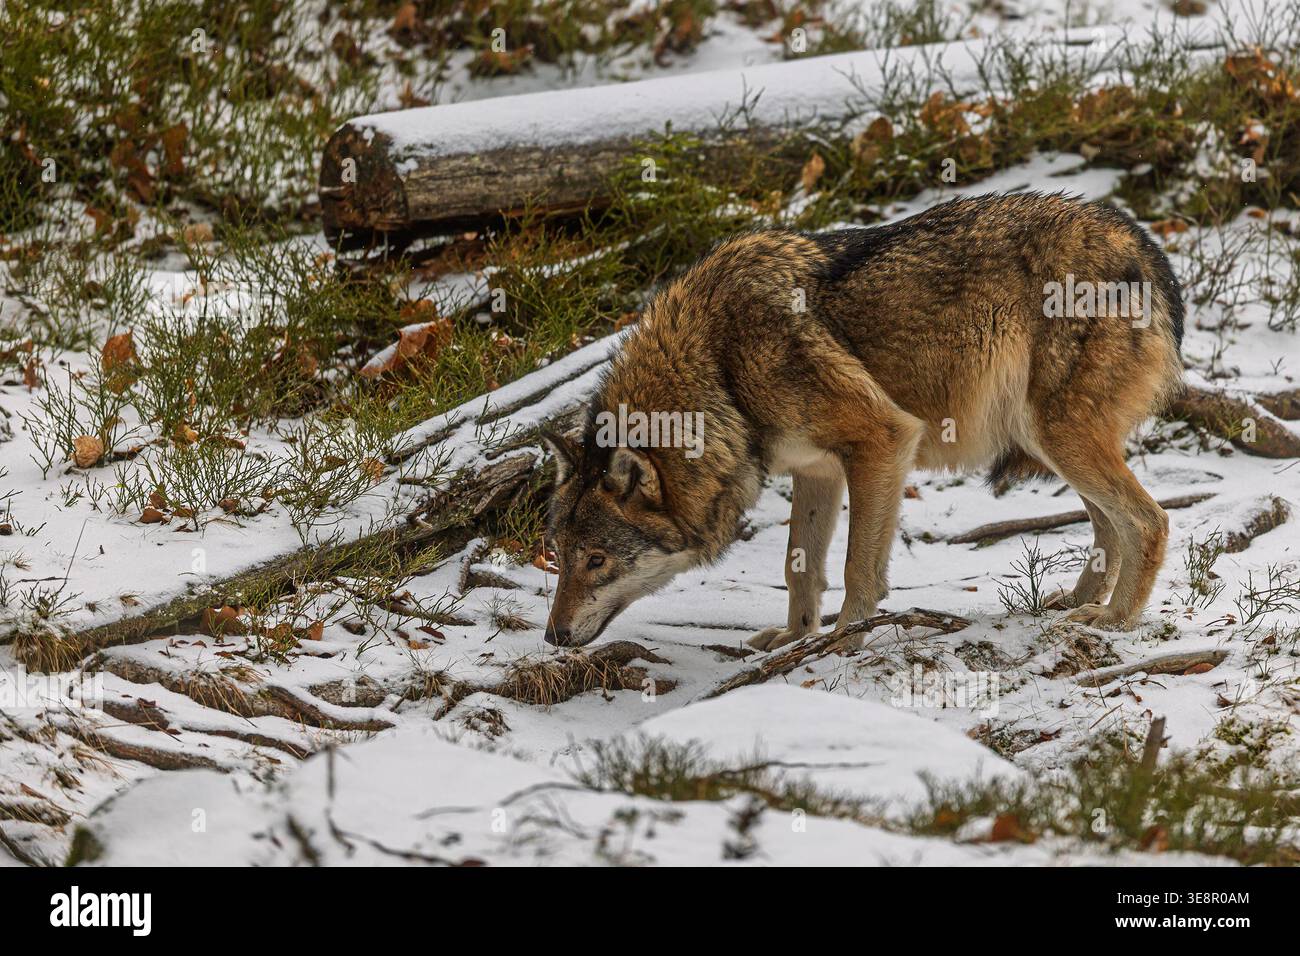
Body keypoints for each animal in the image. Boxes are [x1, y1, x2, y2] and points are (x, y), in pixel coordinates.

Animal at [542, 192, 1184, 649]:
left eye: (596, 561)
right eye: (559, 555)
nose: (553, 636)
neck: (720, 366)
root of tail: (1142, 245)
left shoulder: (884, 438)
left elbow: (856, 567)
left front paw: (846, 638)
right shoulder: (817, 470)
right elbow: (799, 566)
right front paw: (794, 638)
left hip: (1055, 436)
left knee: (1147, 521)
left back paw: (1113, 620)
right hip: (1050, 443)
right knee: (1108, 528)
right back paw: (1072, 604)